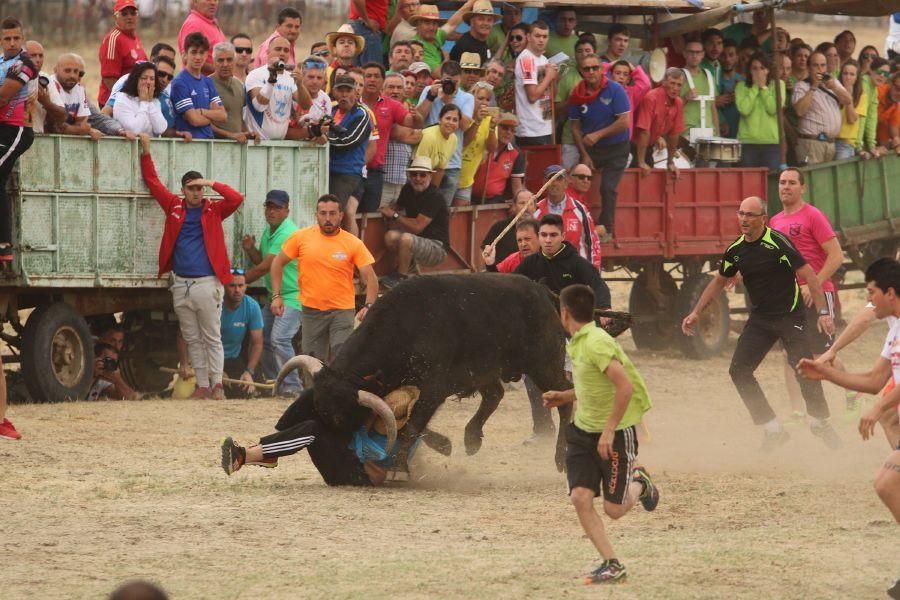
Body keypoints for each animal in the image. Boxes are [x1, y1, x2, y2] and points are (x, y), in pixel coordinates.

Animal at [274, 272, 572, 474]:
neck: (404, 327)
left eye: (340, 418)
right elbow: (412, 424)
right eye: (318, 410)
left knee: (565, 398)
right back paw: (471, 439)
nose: (340, 456)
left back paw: (561, 459)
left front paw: (397, 467)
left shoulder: (433, 388)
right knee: (494, 394)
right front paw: (445, 445)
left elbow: (412, 426)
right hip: (484, 370)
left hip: (544, 365)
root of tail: (543, 291)